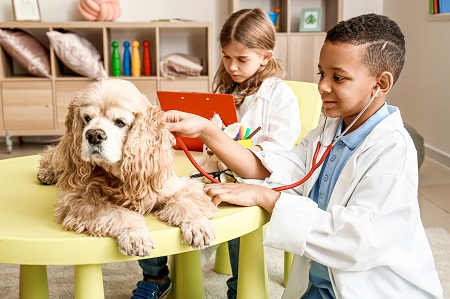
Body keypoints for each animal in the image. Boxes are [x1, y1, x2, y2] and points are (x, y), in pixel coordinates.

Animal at [37, 79, 217, 258]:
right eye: (87, 118)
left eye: (120, 122)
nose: (93, 135)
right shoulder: (79, 201)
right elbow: (119, 213)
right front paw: (136, 236)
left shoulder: (177, 185)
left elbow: (187, 202)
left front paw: (198, 225)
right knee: (53, 154)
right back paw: (46, 173)